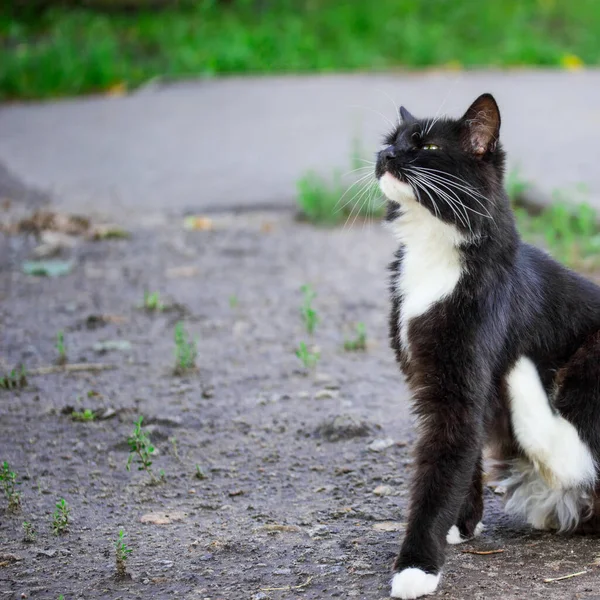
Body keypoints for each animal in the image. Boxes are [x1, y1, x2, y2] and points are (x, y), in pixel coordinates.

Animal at [378, 94, 600, 600]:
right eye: (391, 140)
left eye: (426, 146)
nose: (386, 155)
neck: (436, 251)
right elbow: (467, 453)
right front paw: (462, 523)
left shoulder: (459, 387)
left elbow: (443, 465)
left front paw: (416, 565)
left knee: (578, 461)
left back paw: (522, 380)